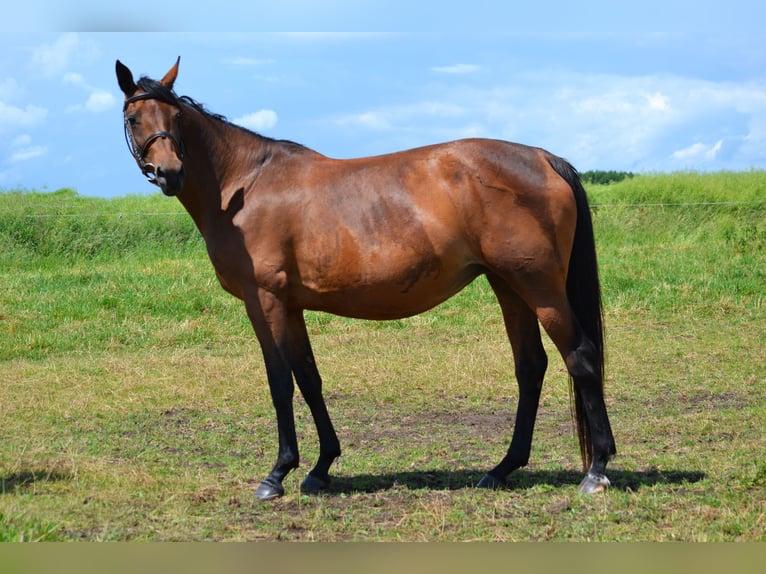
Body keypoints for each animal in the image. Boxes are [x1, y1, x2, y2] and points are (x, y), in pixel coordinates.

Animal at [115, 56, 616, 502]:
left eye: (176, 117)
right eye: (135, 117)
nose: (169, 173)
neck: (244, 188)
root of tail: (544, 158)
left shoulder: (265, 300)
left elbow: (280, 382)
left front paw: (276, 474)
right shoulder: (291, 306)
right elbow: (309, 377)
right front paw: (320, 468)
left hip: (539, 287)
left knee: (581, 357)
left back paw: (596, 471)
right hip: (508, 285)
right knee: (530, 367)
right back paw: (501, 469)